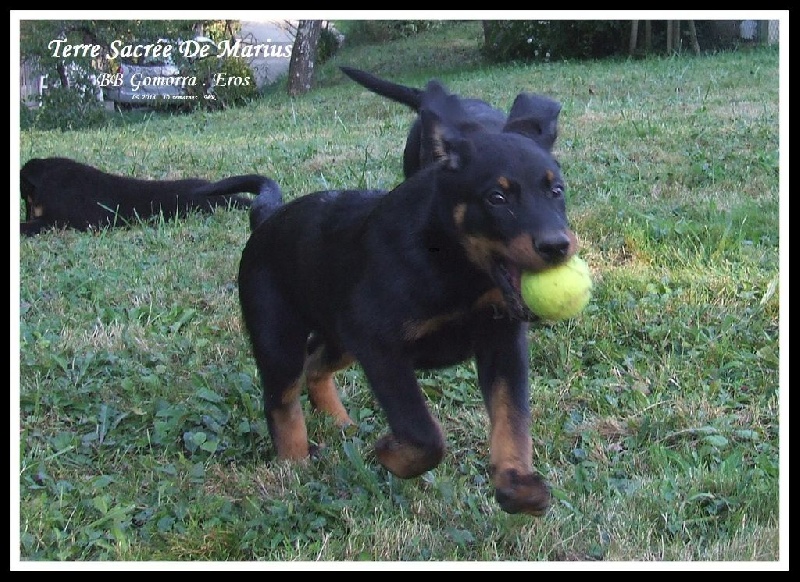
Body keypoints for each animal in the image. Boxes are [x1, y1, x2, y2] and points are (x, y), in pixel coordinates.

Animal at [239, 78, 576, 516]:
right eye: (496, 198)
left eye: (556, 191)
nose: (557, 246)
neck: (455, 267)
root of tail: (265, 221)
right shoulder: (378, 343)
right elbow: (423, 432)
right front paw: (391, 453)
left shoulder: (503, 342)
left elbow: (513, 416)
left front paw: (517, 484)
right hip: (279, 337)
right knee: (281, 400)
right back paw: (294, 467)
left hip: (340, 334)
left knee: (315, 364)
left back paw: (338, 421)